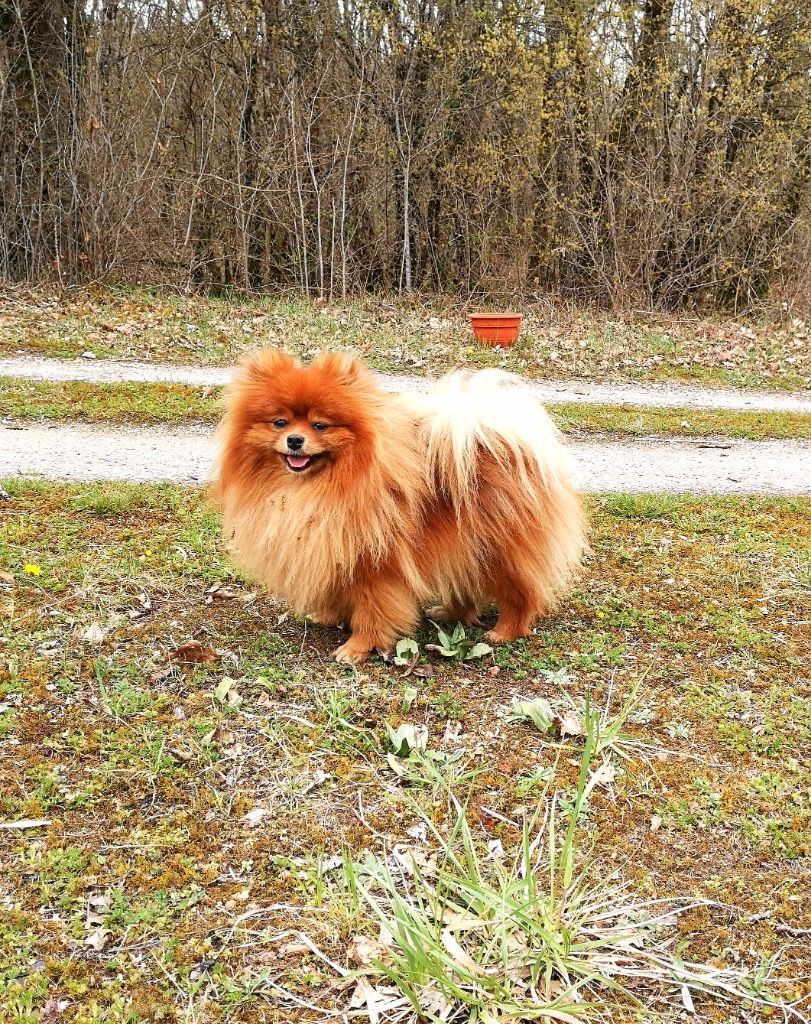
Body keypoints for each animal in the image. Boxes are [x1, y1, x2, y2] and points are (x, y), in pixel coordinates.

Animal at [211, 348, 585, 663]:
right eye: (280, 422)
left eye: (320, 425)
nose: (295, 440)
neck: (318, 488)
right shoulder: (333, 547)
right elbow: (335, 591)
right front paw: (328, 616)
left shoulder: (374, 568)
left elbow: (370, 613)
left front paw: (356, 648)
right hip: (467, 547)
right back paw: (448, 613)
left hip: (499, 550)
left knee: (520, 595)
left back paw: (504, 631)